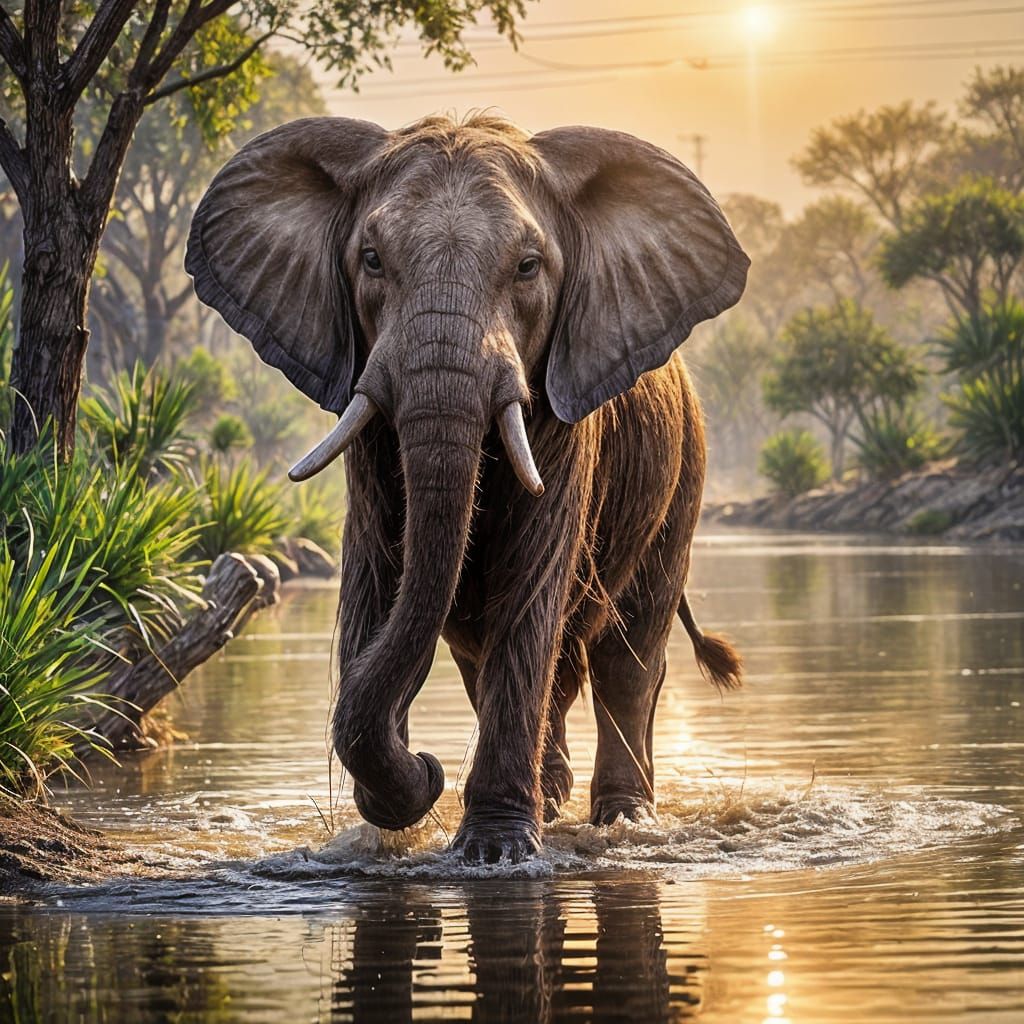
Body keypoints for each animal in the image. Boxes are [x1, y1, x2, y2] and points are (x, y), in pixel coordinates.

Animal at [186, 113, 749, 864]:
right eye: (371, 260)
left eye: (529, 267)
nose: (429, 765)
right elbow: (380, 582)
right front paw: (402, 817)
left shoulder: (566, 428)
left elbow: (528, 587)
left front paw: (495, 852)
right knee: (496, 660)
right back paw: (552, 796)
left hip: (684, 472)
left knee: (626, 656)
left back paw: (622, 819)